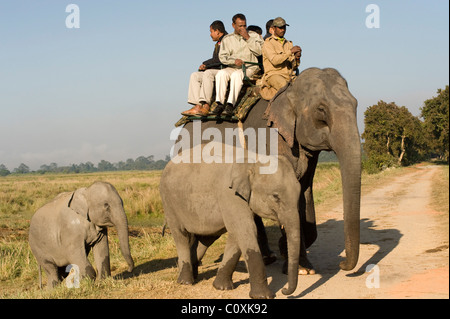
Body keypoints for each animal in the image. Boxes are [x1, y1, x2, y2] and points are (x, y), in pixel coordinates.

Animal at [160, 157, 300, 300]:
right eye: (275, 196)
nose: (285, 290)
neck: (252, 160)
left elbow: (236, 234)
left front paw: (221, 287)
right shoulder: (229, 194)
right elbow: (245, 229)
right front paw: (263, 296)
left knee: (206, 239)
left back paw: (194, 276)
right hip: (168, 202)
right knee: (180, 235)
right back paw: (186, 282)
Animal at [179, 67, 362, 272]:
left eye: (356, 105)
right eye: (321, 111)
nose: (342, 264)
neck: (288, 91)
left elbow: (304, 192)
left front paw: (298, 261)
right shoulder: (269, 140)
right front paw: (296, 263)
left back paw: (267, 257)